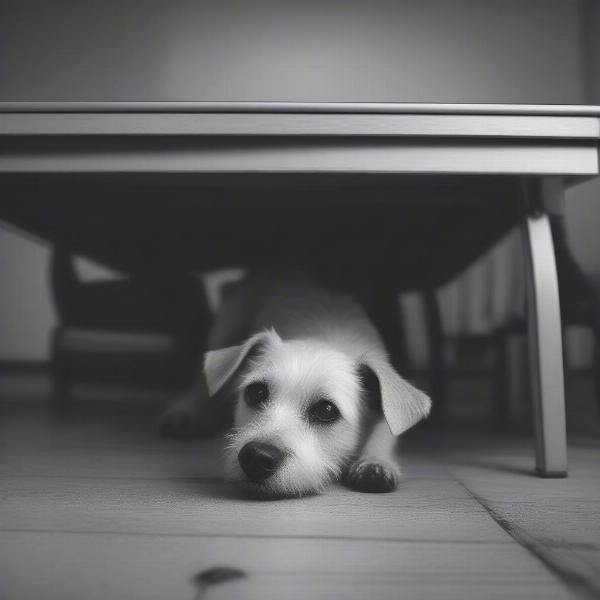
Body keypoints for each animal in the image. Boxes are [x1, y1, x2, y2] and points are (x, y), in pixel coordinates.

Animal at [162, 272, 428, 496]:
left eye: (327, 410)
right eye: (255, 393)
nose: (256, 457)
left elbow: (386, 431)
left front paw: (376, 461)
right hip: (228, 323)